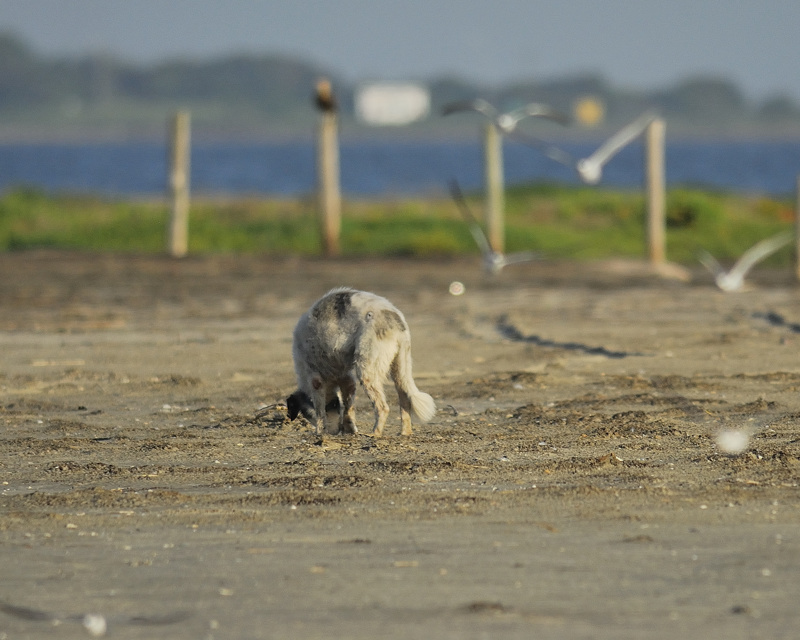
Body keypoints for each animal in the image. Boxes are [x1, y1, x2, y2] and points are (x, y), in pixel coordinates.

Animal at [286, 288, 438, 436]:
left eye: (307, 416)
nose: (335, 432)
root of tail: (394, 318)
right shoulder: (347, 380)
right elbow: (348, 408)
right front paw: (349, 429)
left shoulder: (315, 381)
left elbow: (320, 412)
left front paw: (320, 432)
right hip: (400, 370)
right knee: (405, 399)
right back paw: (405, 433)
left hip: (366, 372)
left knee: (383, 408)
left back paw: (375, 433)